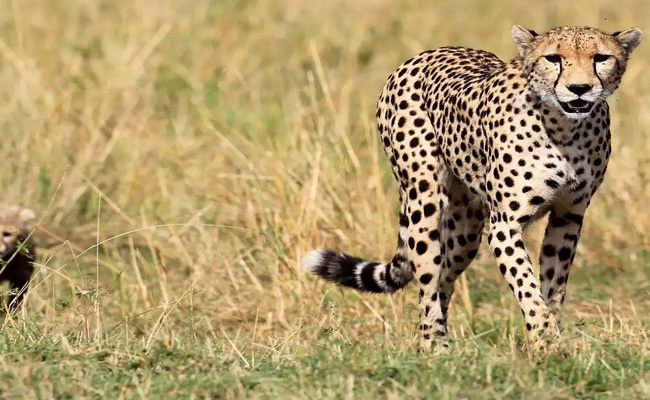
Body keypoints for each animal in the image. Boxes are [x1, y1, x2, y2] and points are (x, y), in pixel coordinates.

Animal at [302, 25, 643, 352]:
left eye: (600, 58)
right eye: (553, 58)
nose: (579, 89)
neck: (566, 128)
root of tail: (426, 53)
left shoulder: (568, 216)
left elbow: (552, 288)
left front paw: (551, 340)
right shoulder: (505, 226)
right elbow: (528, 288)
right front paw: (546, 342)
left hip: (466, 229)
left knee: (444, 278)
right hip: (424, 202)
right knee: (427, 280)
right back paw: (434, 347)